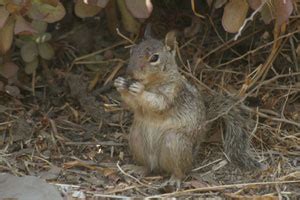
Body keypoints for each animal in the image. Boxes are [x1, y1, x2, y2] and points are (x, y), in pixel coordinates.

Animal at [113, 26, 262, 184]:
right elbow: (133, 105)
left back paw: (174, 180)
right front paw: (120, 84)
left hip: (175, 143)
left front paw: (138, 90)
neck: (151, 84)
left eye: (154, 58)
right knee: (148, 167)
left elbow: (158, 103)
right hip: (137, 139)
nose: (130, 73)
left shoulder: (173, 93)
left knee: (180, 170)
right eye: (132, 51)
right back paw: (138, 168)